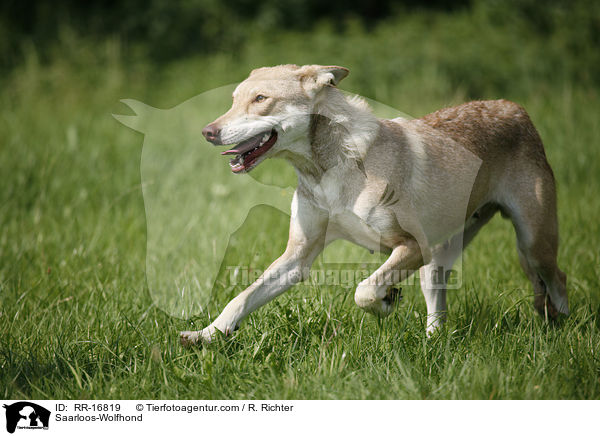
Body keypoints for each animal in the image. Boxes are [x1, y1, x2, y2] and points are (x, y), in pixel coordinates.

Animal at [179, 64, 568, 344]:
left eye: (260, 99)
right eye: (233, 100)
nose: (207, 132)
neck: (327, 169)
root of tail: (515, 108)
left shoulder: (409, 246)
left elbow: (363, 290)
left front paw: (386, 302)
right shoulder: (297, 258)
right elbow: (241, 299)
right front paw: (206, 335)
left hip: (531, 244)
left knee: (557, 278)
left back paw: (562, 328)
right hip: (440, 255)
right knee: (438, 292)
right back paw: (432, 341)